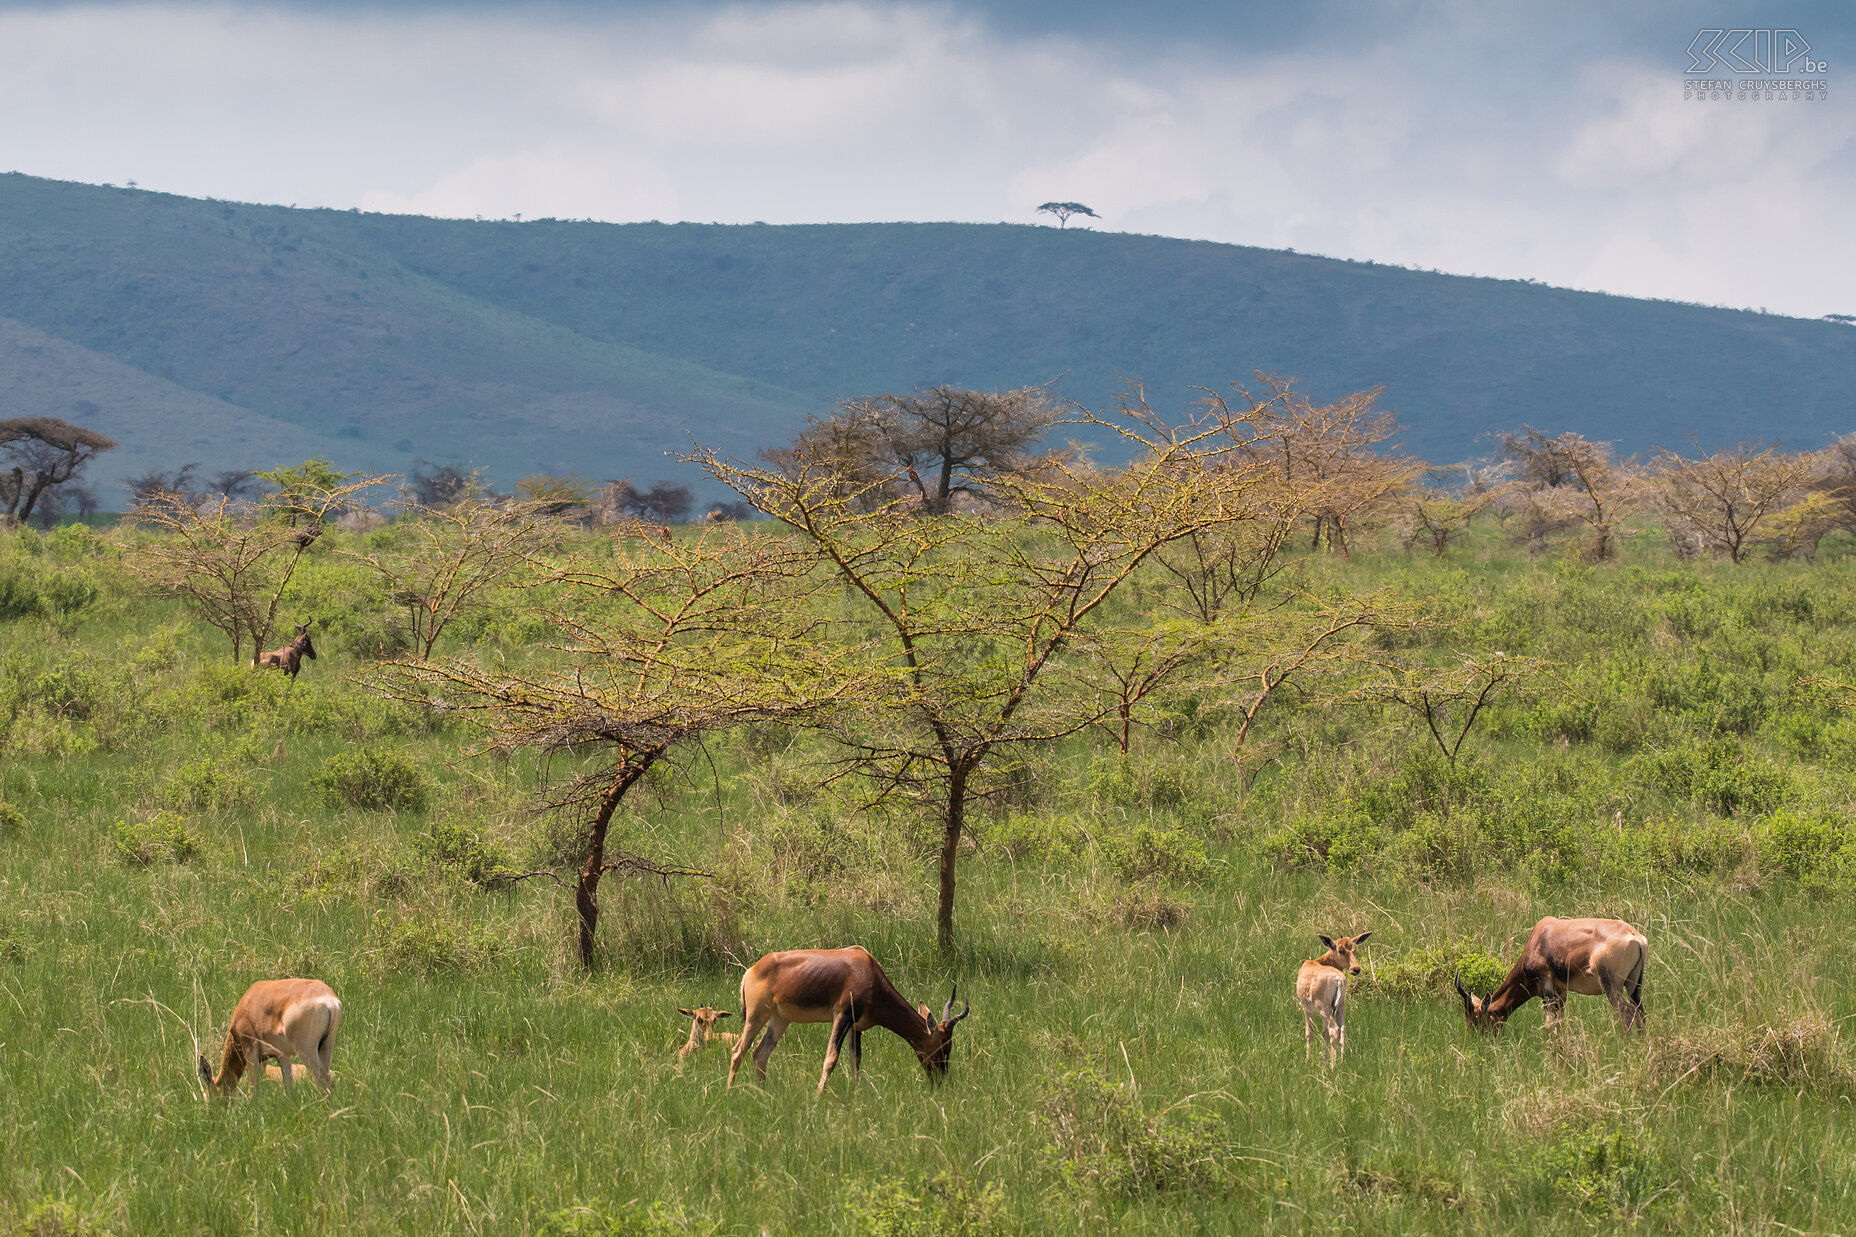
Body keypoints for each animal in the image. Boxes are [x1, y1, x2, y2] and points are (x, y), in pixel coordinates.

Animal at [197, 973, 343, 1092]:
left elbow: (253, 1091)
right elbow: (289, 1090)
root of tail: (330, 1001)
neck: (248, 1002)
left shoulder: (251, 1051)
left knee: (323, 1082)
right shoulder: (282, 1055)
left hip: (306, 1051)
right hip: (326, 1046)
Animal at [727, 943, 972, 1092]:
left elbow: (856, 1060)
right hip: (756, 1015)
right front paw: (818, 1097)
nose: (939, 1081)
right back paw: (729, 1091)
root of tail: (751, 970)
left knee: (760, 1053)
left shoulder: (856, 1026)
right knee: (738, 1050)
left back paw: (763, 1093)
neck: (868, 968)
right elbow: (831, 1058)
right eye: (944, 1046)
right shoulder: (842, 1016)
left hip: (779, 1019)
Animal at [1299, 924, 1373, 1062]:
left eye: (1354, 949)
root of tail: (1338, 979)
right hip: (1340, 1006)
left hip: (1324, 1009)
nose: (1356, 969)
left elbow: (1310, 1033)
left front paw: (1308, 1060)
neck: (1316, 962)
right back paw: (1341, 1061)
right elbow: (1324, 1033)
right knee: (1342, 1029)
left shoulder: (1307, 1009)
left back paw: (1331, 1064)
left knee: (1334, 1030)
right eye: (1341, 950)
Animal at [1455, 913, 1648, 1032]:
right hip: (1634, 986)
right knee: (1640, 1013)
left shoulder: (1546, 984)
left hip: (1611, 987)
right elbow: (1559, 1023)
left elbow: (1549, 1024)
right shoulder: (1560, 992)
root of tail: (1635, 937)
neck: (1540, 935)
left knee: (1626, 1014)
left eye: (1477, 1018)